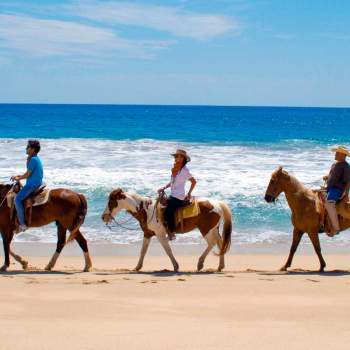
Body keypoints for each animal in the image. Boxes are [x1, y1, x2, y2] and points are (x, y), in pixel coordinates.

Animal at [101, 189, 232, 274]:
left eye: (111, 202)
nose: (103, 217)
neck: (147, 211)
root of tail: (218, 203)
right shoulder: (147, 234)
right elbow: (143, 251)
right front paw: (137, 267)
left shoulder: (160, 234)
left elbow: (167, 250)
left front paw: (176, 266)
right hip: (213, 229)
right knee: (220, 243)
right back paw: (220, 266)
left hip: (206, 229)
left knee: (212, 243)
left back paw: (200, 264)